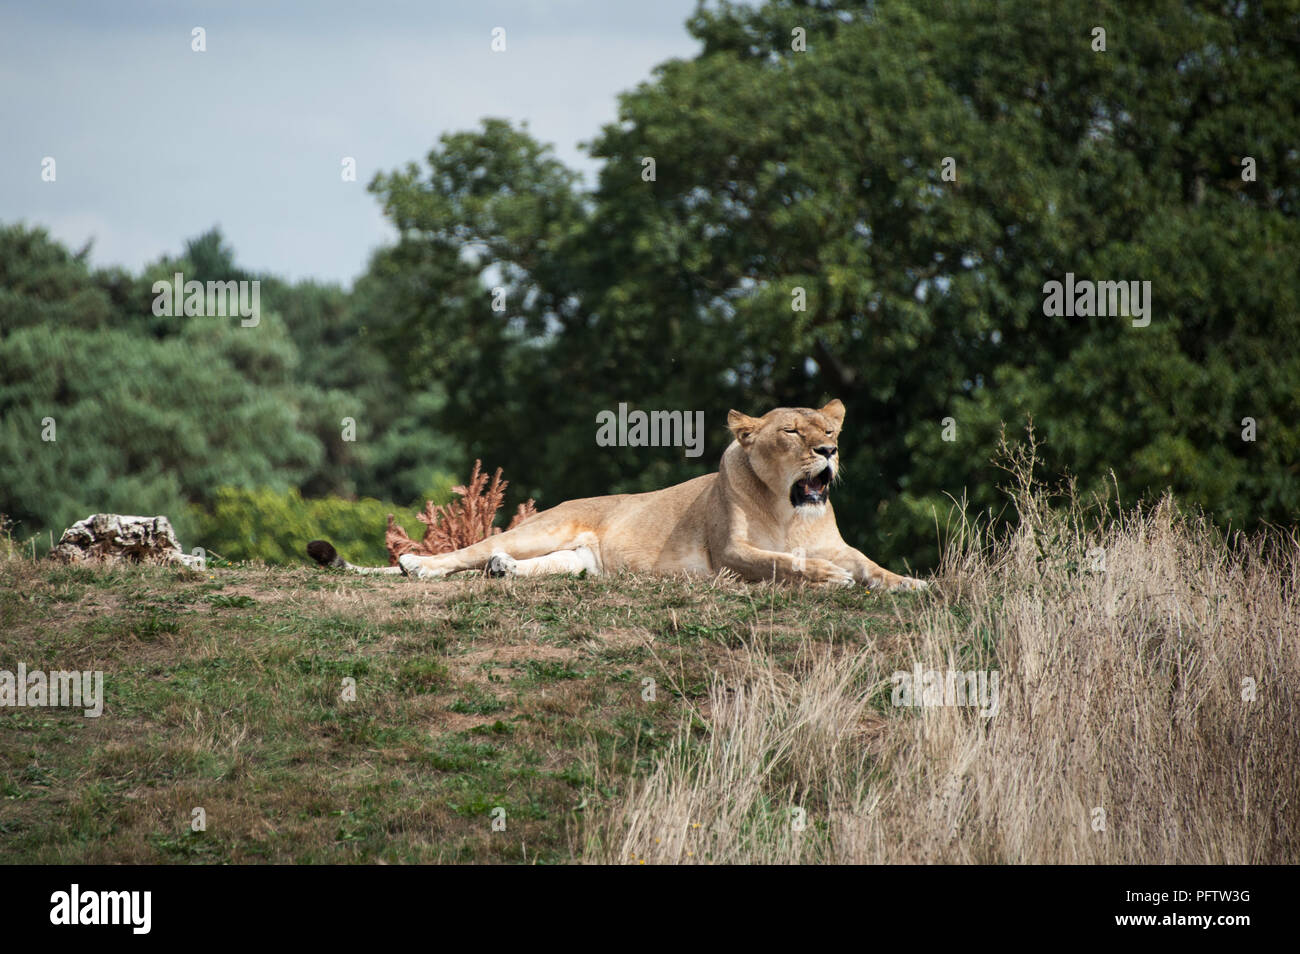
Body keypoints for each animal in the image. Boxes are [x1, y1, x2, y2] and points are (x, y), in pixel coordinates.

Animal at [308, 400, 926, 590]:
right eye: (793, 432)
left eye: (830, 429)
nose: (829, 451)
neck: (787, 508)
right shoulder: (730, 555)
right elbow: (786, 563)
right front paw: (828, 578)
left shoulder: (836, 543)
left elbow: (868, 563)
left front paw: (913, 584)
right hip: (541, 528)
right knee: (466, 554)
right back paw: (419, 566)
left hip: (578, 560)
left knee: (527, 564)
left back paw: (506, 570)